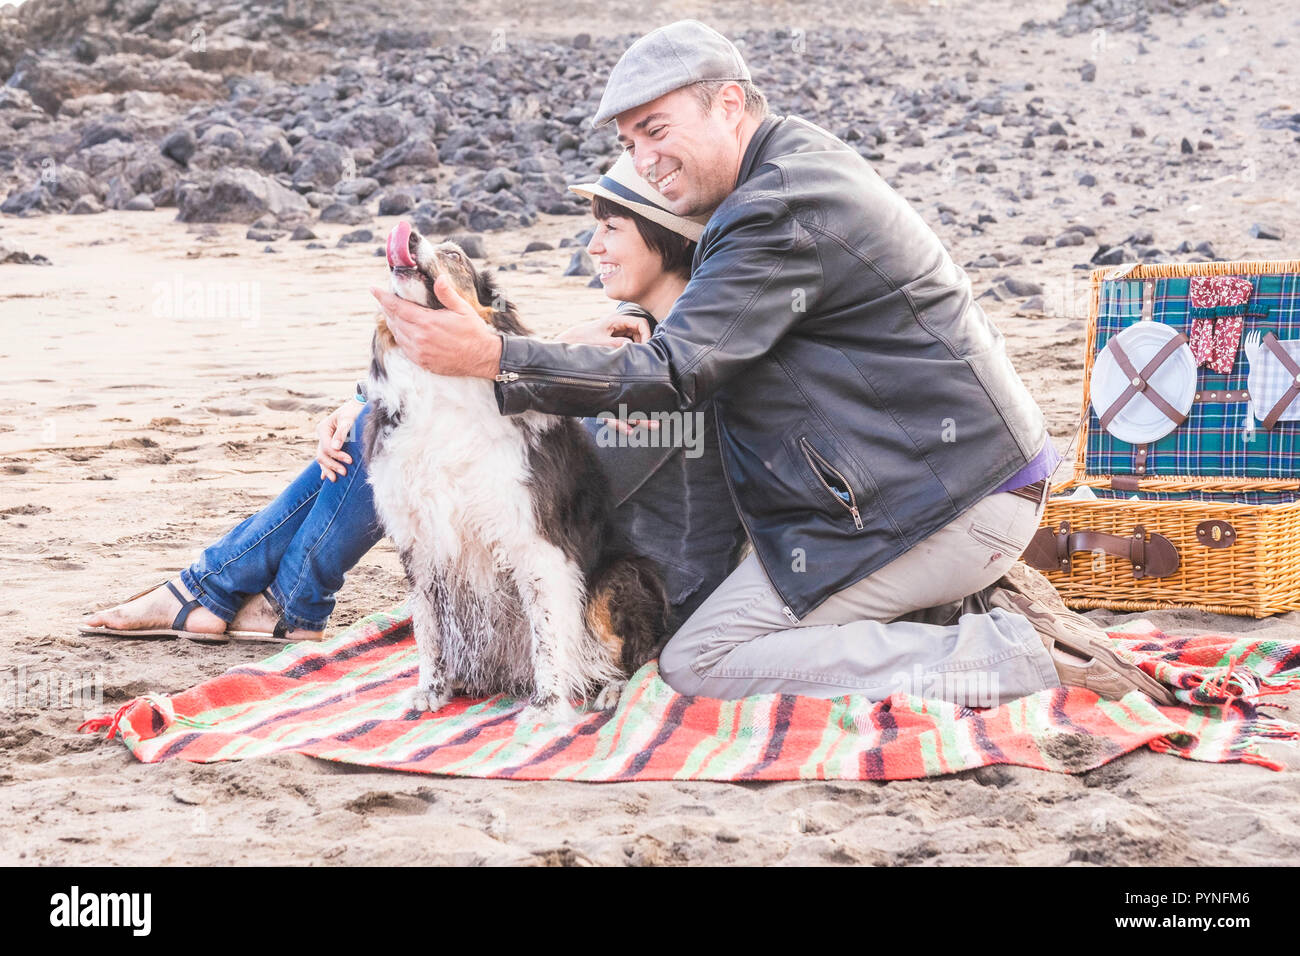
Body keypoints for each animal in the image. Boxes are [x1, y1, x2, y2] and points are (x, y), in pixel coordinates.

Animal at [366, 221, 670, 723]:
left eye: (454, 256)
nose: (405, 239)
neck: (440, 390)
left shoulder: (536, 541)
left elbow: (547, 633)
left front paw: (547, 706)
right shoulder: (419, 541)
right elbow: (428, 627)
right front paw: (431, 689)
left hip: (618, 576)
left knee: (637, 654)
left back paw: (609, 691)